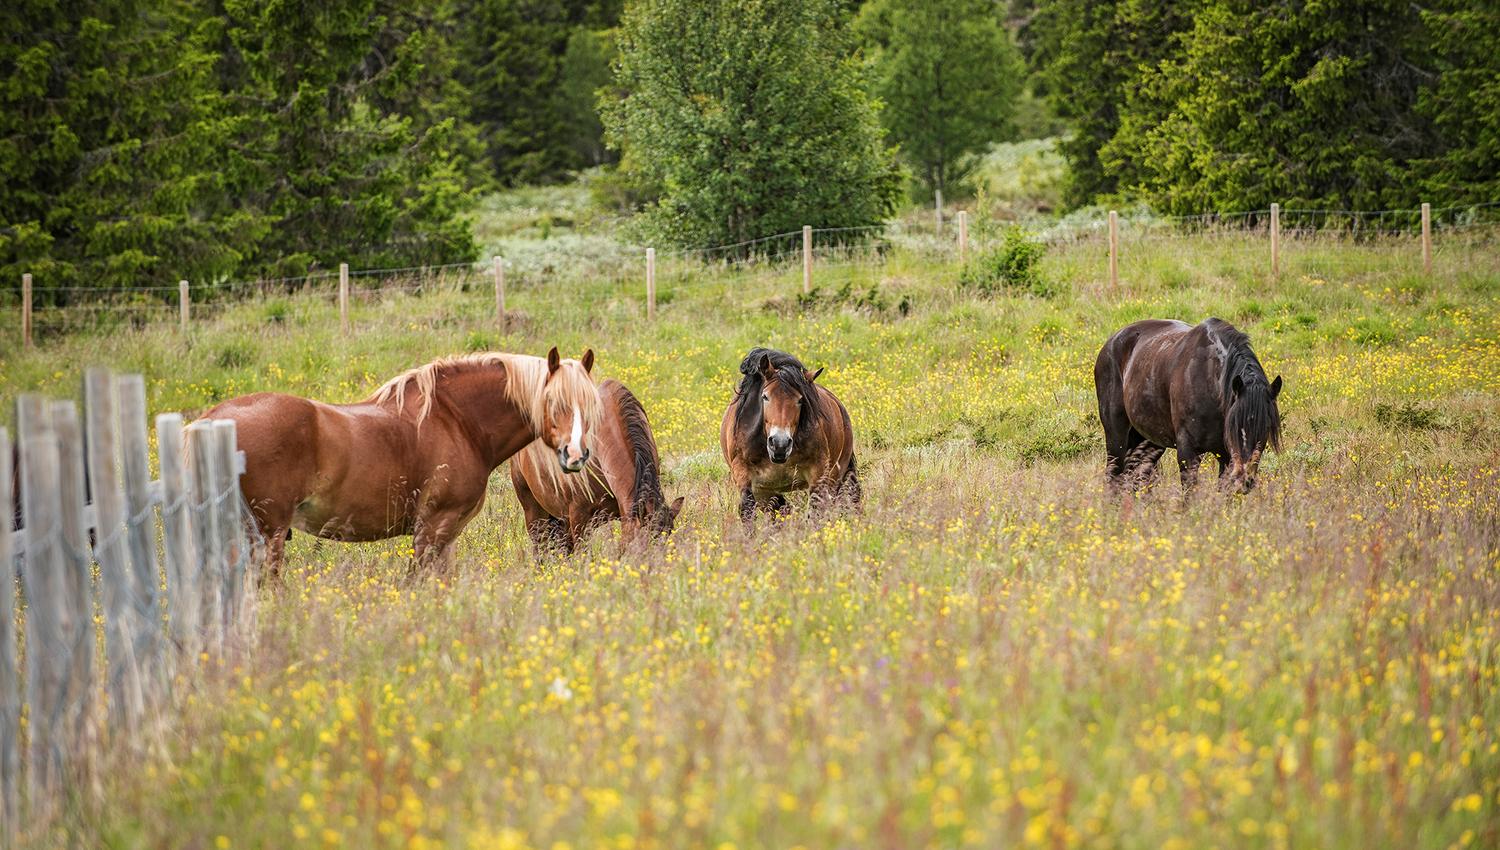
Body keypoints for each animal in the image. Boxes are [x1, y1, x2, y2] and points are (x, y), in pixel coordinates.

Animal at [199, 347, 601, 575]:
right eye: (554, 403)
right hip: (266, 534)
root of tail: (211, 420)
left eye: (590, 404)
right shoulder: (433, 527)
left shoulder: (447, 535)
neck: (456, 420)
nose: (576, 455)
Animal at [720, 347, 859, 528]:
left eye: (800, 400)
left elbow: (815, 512)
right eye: (765, 396)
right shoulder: (744, 475)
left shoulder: (819, 475)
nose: (780, 444)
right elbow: (748, 510)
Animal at [1094, 318, 1282, 494]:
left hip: (1148, 441)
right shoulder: (1187, 452)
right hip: (1116, 437)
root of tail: (1111, 342)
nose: (1244, 482)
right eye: (1236, 427)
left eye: (1265, 428)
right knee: (1114, 475)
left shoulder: (1226, 457)